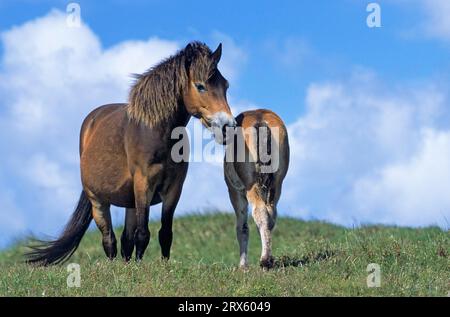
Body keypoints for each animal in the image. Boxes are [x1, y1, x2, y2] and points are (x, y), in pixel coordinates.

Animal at [27, 41, 236, 264]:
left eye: (225, 85)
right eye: (200, 86)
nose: (227, 126)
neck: (156, 133)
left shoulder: (174, 188)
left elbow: (165, 234)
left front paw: (162, 265)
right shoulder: (144, 184)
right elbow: (143, 234)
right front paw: (140, 266)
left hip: (130, 202)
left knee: (126, 239)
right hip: (98, 201)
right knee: (109, 238)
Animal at [223, 108, 290, 266]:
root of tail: (260, 120)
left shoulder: (235, 192)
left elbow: (242, 227)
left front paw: (243, 265)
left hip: (250, 185)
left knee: (260, 211)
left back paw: (265, 260)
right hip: (277, 184)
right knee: (271, 213)